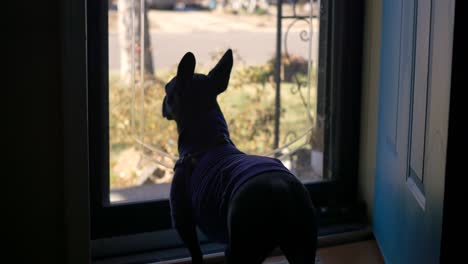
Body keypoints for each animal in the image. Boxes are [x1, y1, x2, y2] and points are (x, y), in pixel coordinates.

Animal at [162, 50, 318, 264]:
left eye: (167, 90)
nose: (163, 102)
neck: (207, 140)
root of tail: (282, 190)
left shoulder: (182, 220)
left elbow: (196, 253)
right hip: (302, 242)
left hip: (240, 247)